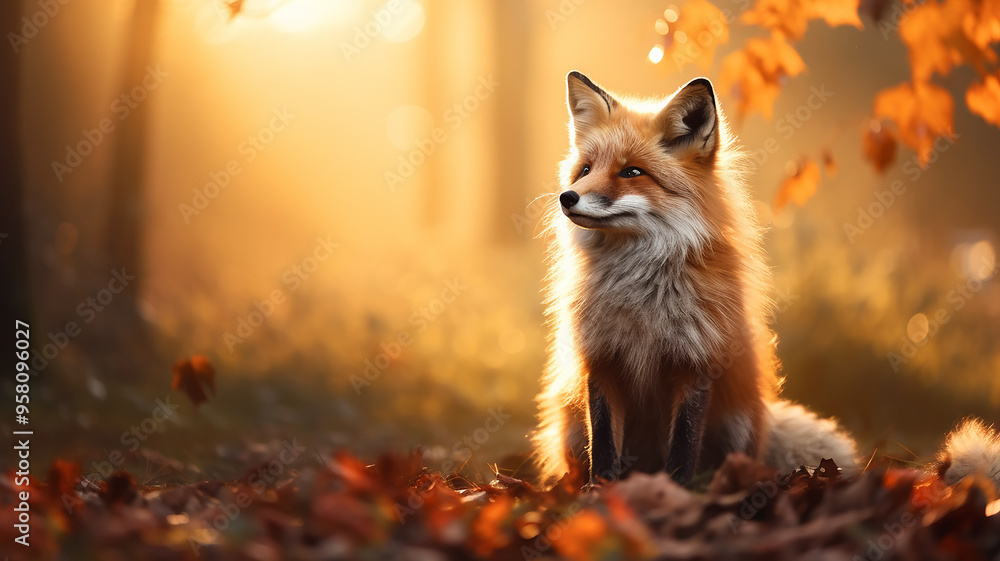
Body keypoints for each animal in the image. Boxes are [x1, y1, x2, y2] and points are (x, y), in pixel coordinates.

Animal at [532, 71, 1000, 489]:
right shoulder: (602, 361)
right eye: (585, 170)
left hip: (738, 420)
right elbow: (604, 448)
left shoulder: (697, 363)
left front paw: (676, 493)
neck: (640, 288)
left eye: (631, 172)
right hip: (569, 423)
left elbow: (683, 448)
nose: (567, 198)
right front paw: (600, 497)